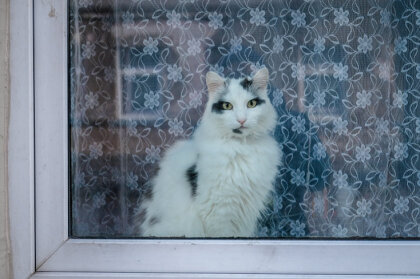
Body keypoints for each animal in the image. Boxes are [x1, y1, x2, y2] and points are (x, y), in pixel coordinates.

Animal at [139, 68, 282, 238]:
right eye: (227, 106)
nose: (241, 120)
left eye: (251, 104)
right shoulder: (219, 213)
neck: (241, 146)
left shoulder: (246, 214)